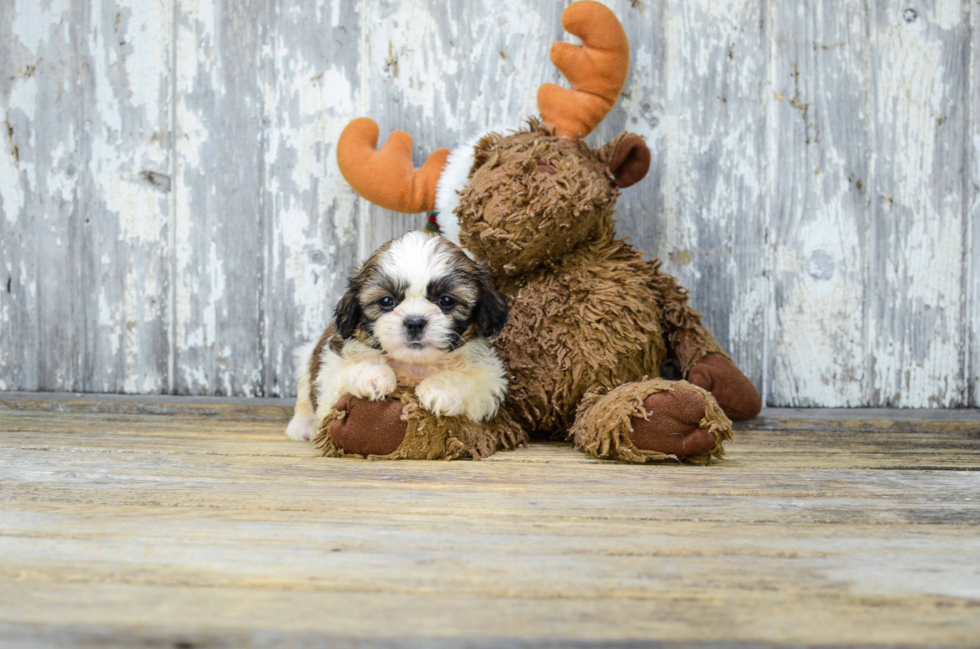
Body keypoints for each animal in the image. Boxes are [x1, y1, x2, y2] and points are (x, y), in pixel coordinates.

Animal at [286, 230, 510, 442]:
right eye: (386, 301)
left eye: (446, 300)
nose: (415, 322)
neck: (414, 363)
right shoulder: (331, 368)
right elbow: (342, 373)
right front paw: (373, 375)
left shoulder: (490, 378)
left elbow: (473, 381)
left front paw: (440, 390)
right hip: (304, 356)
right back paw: (303, 424)